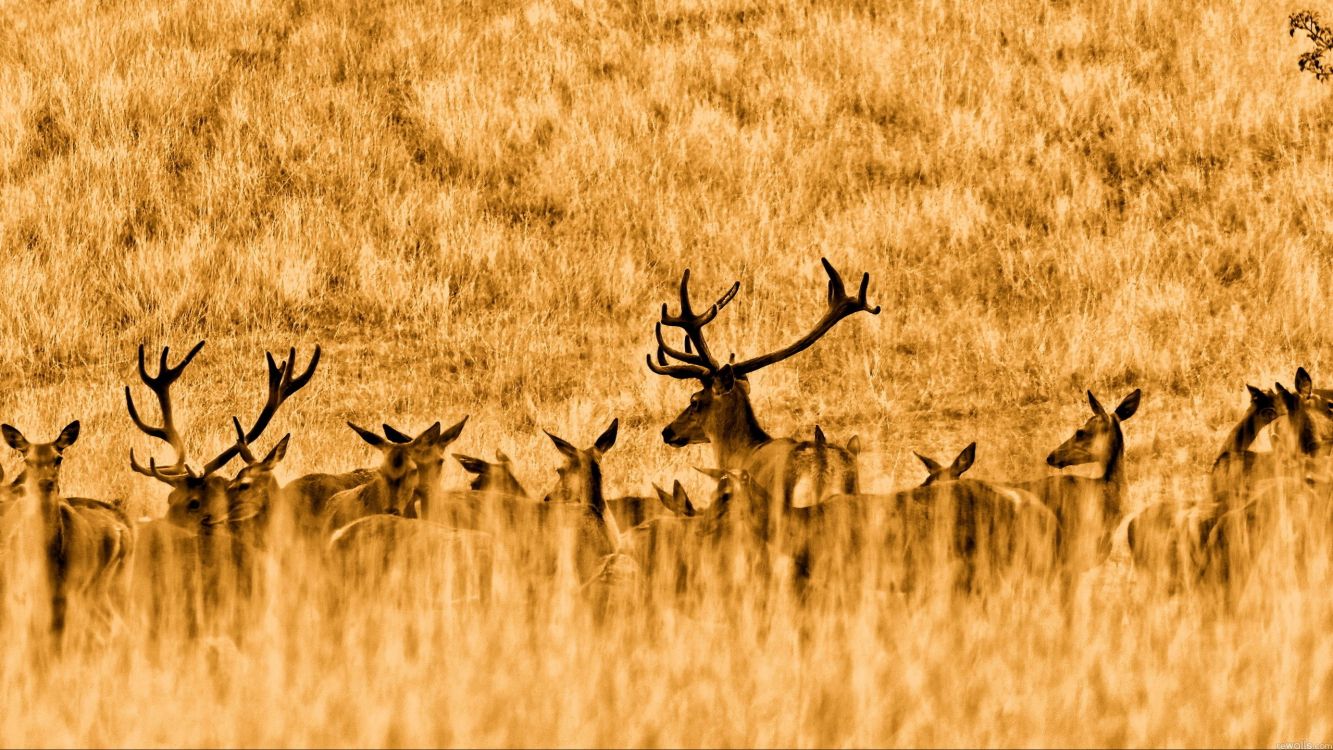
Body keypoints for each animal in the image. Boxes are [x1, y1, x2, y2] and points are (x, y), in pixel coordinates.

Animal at [0, 421, 134, 641]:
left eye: (58, 458)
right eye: (27, 460)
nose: (46, 482)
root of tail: (122, 529)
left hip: (93, 587)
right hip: (115, 583)